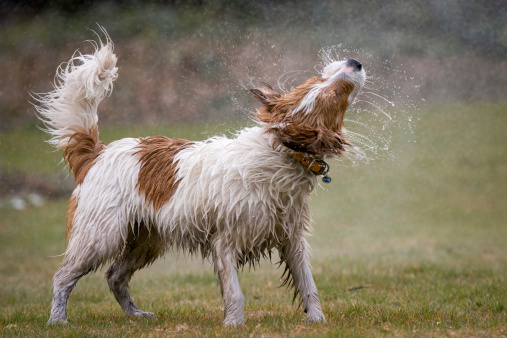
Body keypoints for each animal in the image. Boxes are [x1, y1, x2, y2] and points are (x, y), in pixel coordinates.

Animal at [35, 31, 366, 324]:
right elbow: (235, 293)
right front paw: (234, 324)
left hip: (145, 239)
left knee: (114, 276)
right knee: (63, 277)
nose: (355, 61)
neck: (279, 155)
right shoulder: (225, 241)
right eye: (331, 91)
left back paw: (136, 316)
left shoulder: (291, 238)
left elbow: (309, 285)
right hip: (100, 236)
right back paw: (57, 320)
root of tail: (98, 152)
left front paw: (317, 320)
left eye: (320, 82)